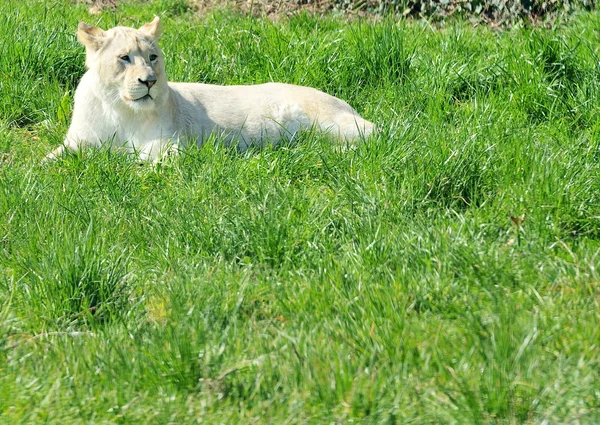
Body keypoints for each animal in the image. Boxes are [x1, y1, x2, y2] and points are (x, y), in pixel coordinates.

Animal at [47, 17, 372, 161]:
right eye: (124, 58)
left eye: (152, 57)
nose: (149, 81)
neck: (119, 109)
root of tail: (347, 105)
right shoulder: (77, 141)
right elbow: (49, 159)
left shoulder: (173, 142)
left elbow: (144, 157)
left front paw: (124, 164)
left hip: (332, 122)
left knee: (374, 135)